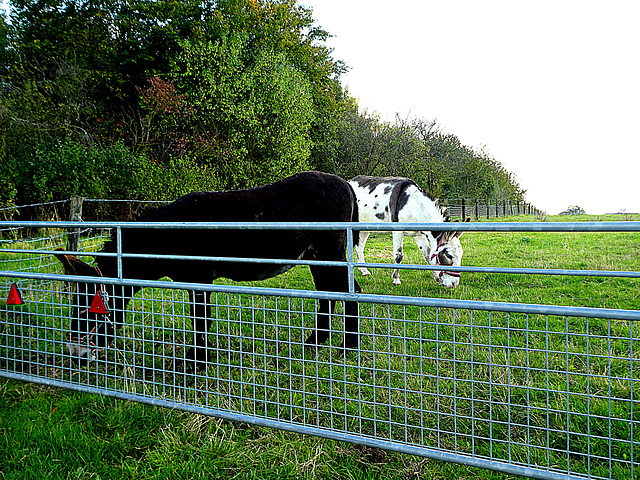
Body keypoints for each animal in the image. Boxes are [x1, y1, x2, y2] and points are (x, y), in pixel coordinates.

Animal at [56, 171, 360, 370]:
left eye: (86, 310)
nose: (73, 353)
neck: (166, 235)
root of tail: (346, 184)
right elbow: (201, 319)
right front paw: (199, 359)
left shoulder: (199, 279)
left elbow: (200, 319)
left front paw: (196, 363)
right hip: (318, 258)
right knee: (328, 294)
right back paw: (314, 344)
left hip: (330, 252)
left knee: (350, 292)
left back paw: (347, 348)